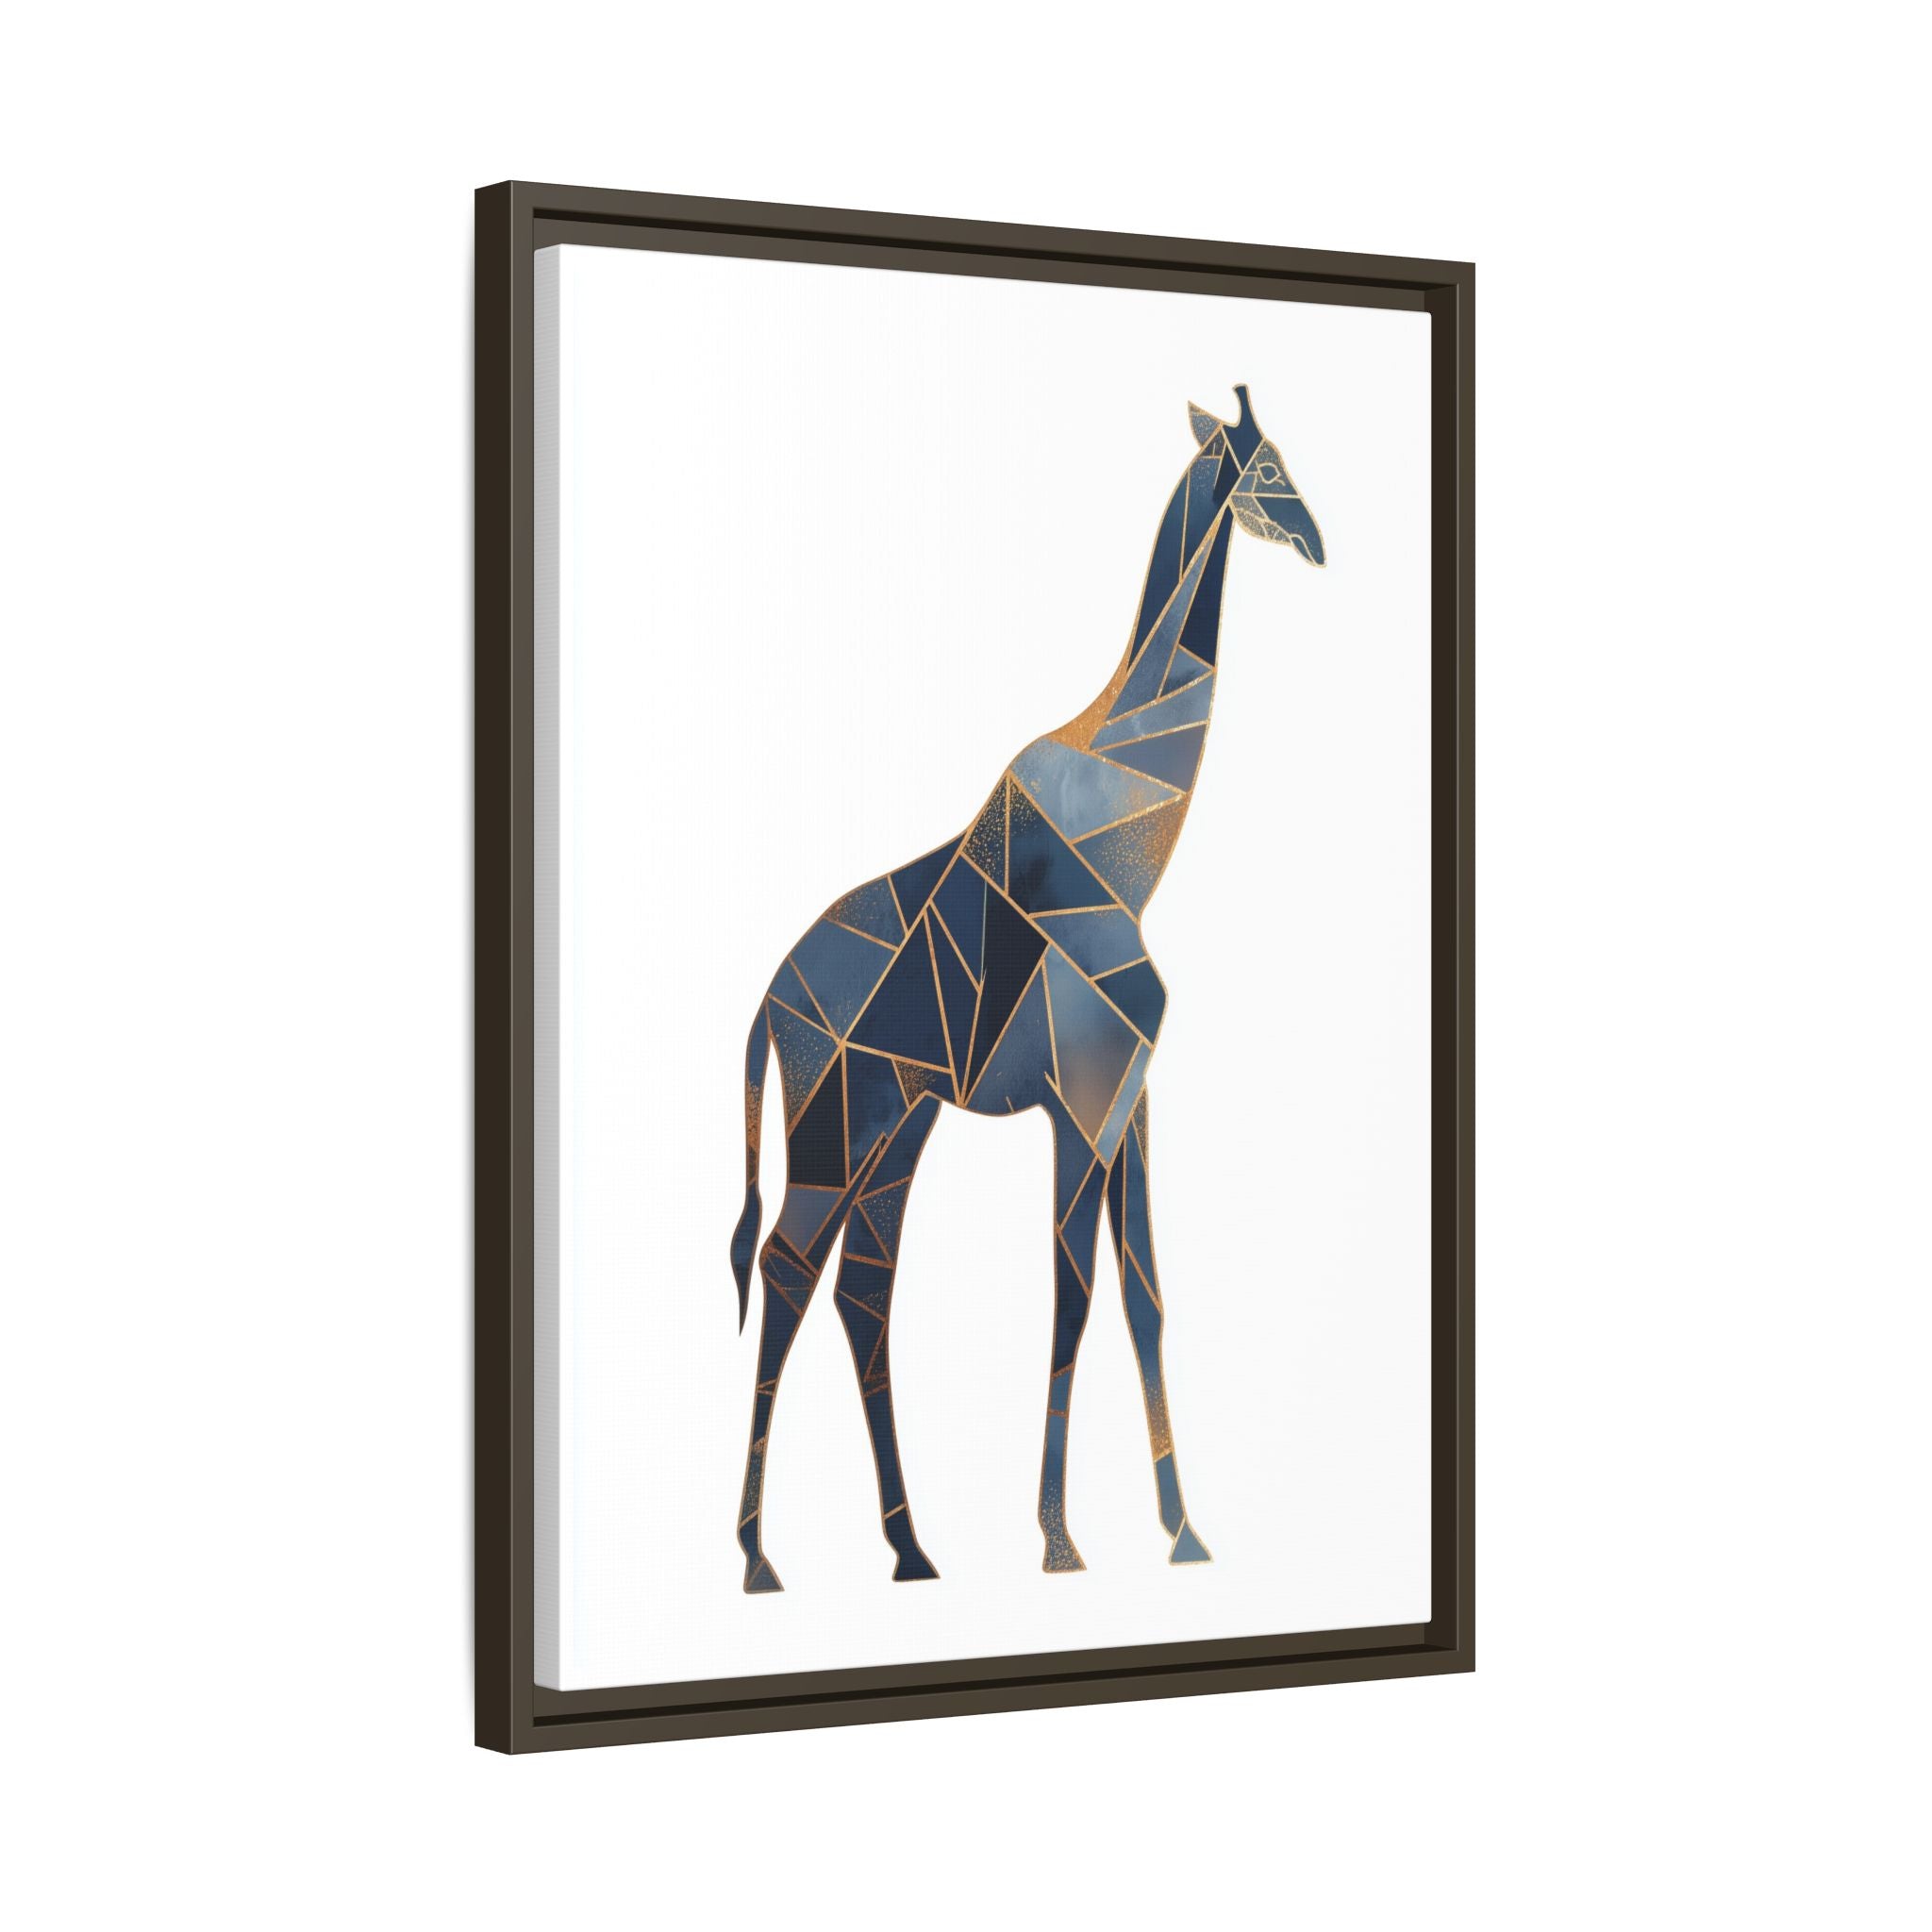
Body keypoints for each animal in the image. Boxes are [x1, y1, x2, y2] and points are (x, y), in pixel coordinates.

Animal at [728, 385, 1326, 1592]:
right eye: (1266, 465)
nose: (1317, 539)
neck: (1131, 839)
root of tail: (766, 1004)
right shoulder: (1081, 1100)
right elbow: (1073, 1294)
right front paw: (1057, 1539)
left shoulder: (1131, 1098)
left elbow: (1144, 1294)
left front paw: (1181, 1531)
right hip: (833, 1125)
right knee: (785, 1270)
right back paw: (759, 1555)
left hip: (895, 1127)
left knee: (862, 1287)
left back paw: (910, 1547)